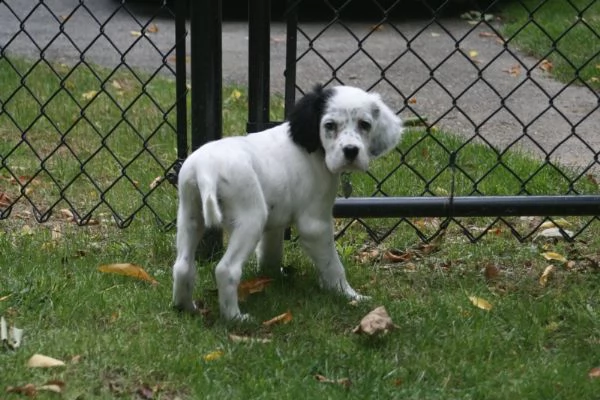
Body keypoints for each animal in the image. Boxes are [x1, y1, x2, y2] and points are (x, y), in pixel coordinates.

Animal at [171, 85, 404, 322]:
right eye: (329, 125)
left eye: (365, 124)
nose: (351, 151)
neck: (313, 147)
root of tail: (205, 170)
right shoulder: (315, 224)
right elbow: (333, 265)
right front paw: (348, 294)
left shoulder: (275, 222)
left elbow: (270, 252)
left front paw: (272, 276)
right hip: (251, 219)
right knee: (226, 270)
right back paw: (235, 318)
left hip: (189, 215)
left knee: (182, 266)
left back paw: (185, 307)